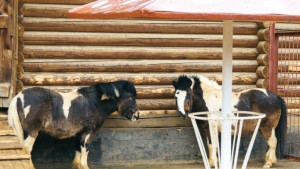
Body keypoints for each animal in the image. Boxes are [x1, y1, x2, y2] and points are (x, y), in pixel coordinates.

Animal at [7, 81, 139, 169]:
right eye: (132, 97)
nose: (137, 115)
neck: (94, 103)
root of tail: (19, 97)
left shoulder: (79, 134)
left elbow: (77, 157)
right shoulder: (89, 133)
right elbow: (84, 155)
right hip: (31, 133)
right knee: (26, 152)